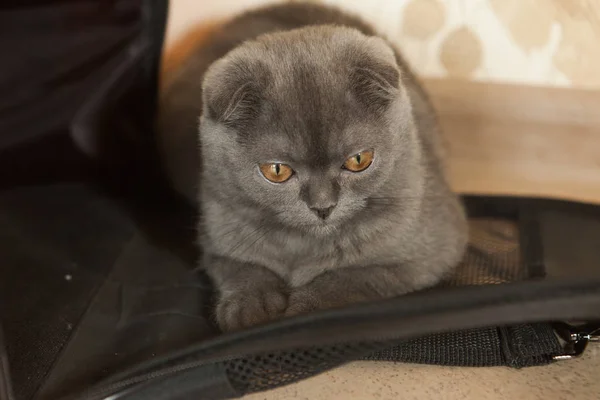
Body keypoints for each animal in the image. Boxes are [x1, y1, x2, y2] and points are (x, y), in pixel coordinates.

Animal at [158, 3, 468, 332]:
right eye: (277, 171)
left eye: (359, 160)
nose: (323, 206)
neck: (303, 244)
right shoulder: (217, 229)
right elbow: (239, 266)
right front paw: (249, 307)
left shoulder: (430, 252)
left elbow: (350, 277)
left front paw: (303, 309)